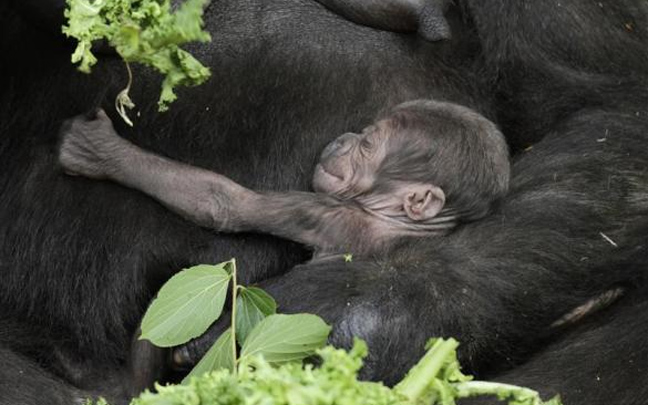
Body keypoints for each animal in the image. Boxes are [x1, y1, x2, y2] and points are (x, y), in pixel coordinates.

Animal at [57, 101, 512, 258]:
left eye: (368, 145)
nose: (346, 138)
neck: (399, 222)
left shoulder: (326, 213)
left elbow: (223, 203)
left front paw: (101, 152)